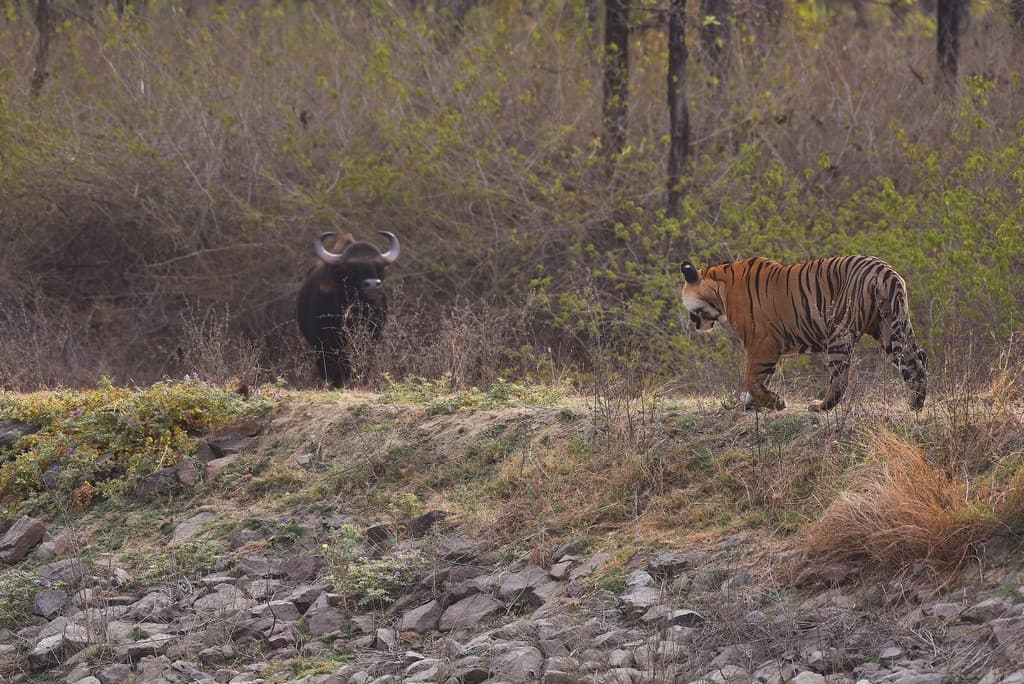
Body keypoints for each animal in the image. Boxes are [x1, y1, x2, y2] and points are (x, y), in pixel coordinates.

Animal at [679, 254, 929, 411]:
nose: (692, 322)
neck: (720, 290)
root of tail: (885, 272)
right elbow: (758, 379)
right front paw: (753, 404)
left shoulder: (761, 342)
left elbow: (751, 378)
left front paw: (775, 403)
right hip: (891, 328)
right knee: (916, 363)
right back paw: (915, 406)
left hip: (838, 332)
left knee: (840, 380)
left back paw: (819, 407)